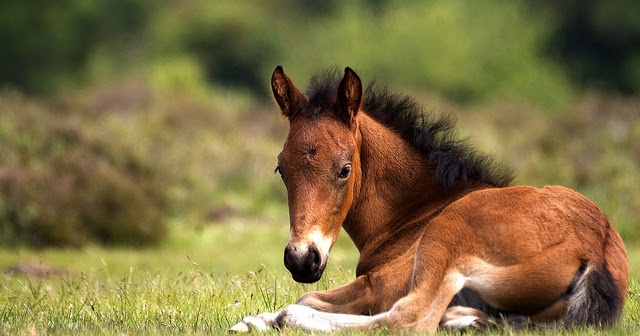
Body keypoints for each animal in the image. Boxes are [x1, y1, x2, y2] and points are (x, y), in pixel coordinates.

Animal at [229, 66, 624, 334]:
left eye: (344, 169)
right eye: (281, 168)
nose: (301, 259)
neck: (417, 211)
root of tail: (596, 248)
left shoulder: (379, 285)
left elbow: (306, 298)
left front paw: (265, 319)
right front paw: (250, 321)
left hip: (443, 242)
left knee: (409, 319)